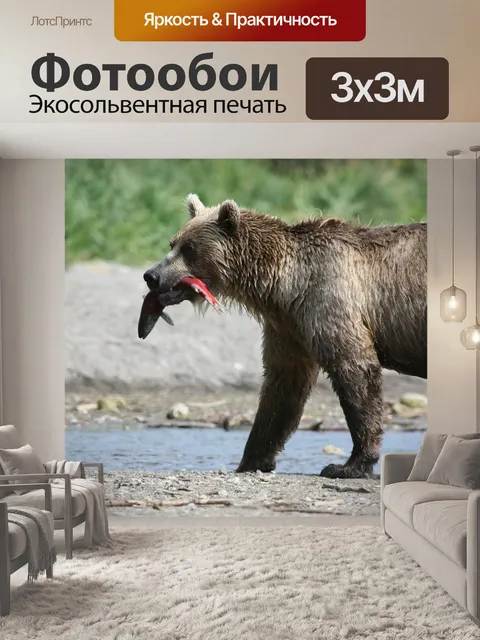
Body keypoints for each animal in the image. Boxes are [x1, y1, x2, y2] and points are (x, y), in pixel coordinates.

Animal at [143, 195, 427, 479]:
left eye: (189, 247)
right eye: (173, 243)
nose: (151, 275)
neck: (285, 287)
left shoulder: (330, 299)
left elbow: (354, 370)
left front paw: (348, 465)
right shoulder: (289, 327)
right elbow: (282, 388)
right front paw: (251, 460)